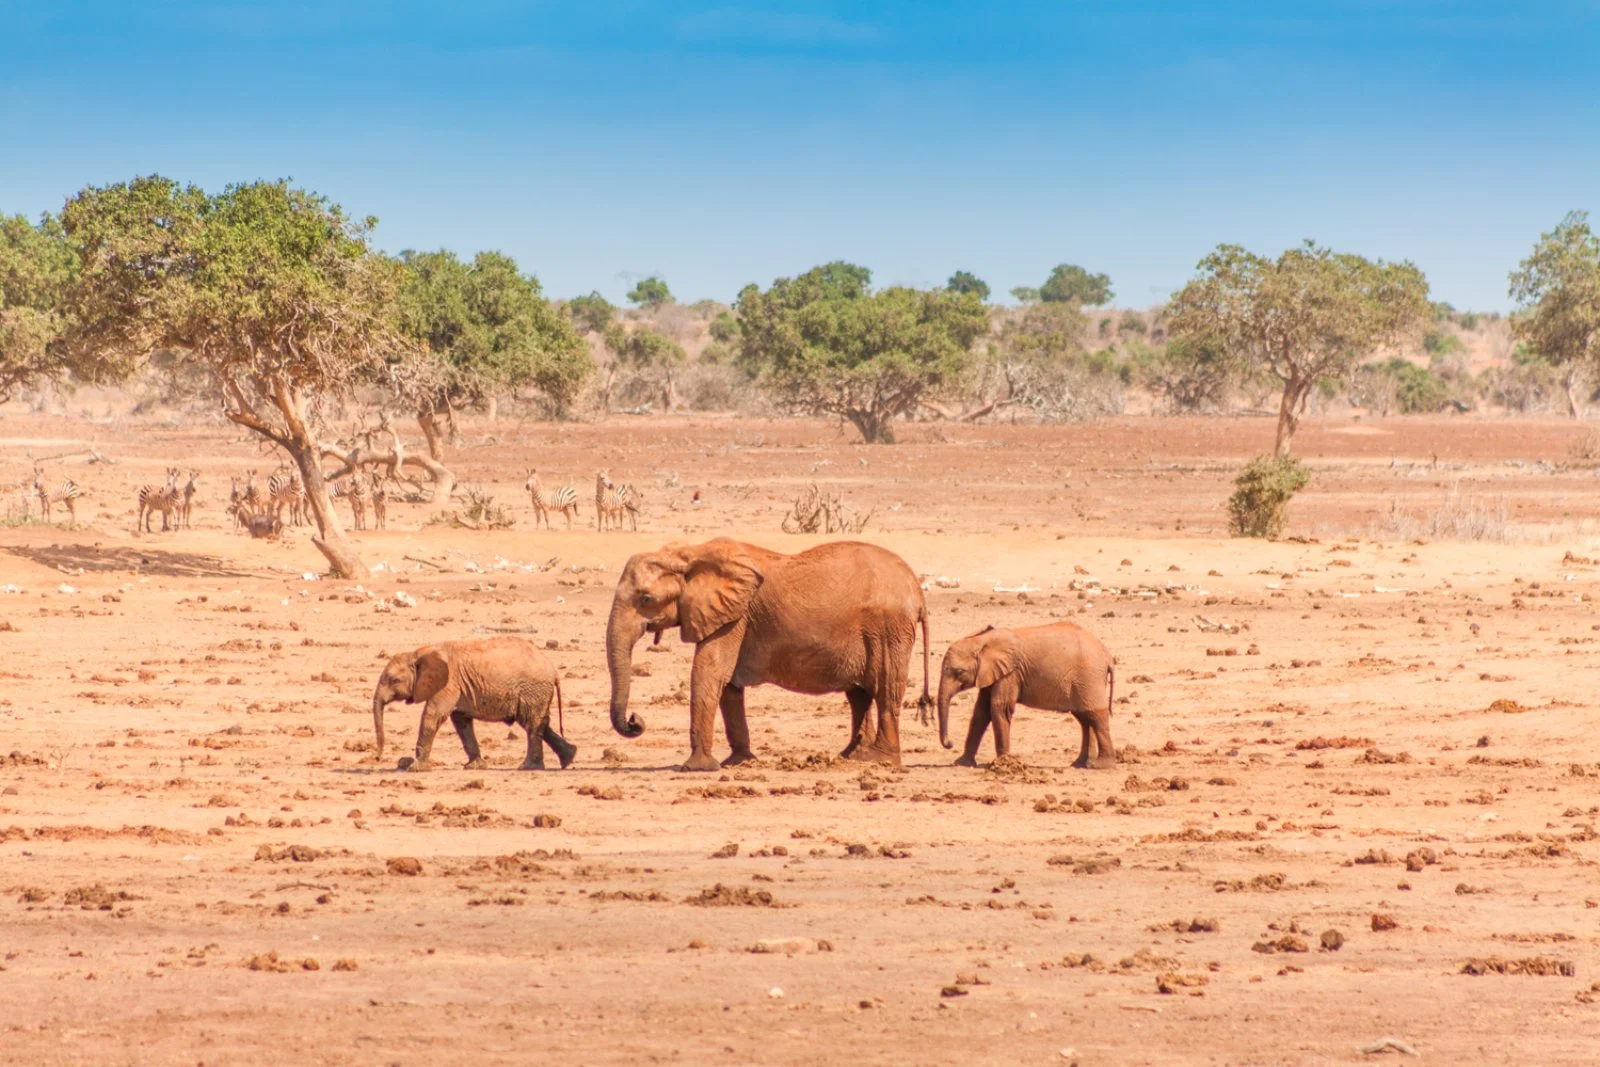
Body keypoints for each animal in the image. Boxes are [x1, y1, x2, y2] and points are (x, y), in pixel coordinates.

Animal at [371, 639, 579, 771]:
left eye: (394, 680)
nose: (377, 758)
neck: (418, 653)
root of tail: (554, 671)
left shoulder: (449, 684)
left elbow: (432, 716)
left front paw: (415, 769)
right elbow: (461, 723)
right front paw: (475, 766)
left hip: (532, 688)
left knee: (532, 724)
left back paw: (528, 767)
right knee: (537, 723)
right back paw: (568, 758)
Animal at [601, 537, 934, 771]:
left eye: (645, 599)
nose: (635, 720)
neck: (689, 553)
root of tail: (918, 592)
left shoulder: (734, 616)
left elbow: (709, 672)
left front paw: (696, 768)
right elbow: (728, 684)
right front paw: (738, 762)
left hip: (889, 629)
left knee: (884, 690)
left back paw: (879, 761)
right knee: (859, 695)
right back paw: (851, 757)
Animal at [934, 620, 1120, 771]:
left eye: (959, 672)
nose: (950, 743)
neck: (982, 641)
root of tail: (1107, 656)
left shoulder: (1010, 673)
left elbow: (999, 708)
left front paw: (1003, 765)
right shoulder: (992, 673)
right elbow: (981, 712)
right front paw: (962, 763)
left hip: (1089, 677)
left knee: (1095, 716)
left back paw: (1101, 766)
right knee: (1084, 718)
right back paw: (1079, 764)